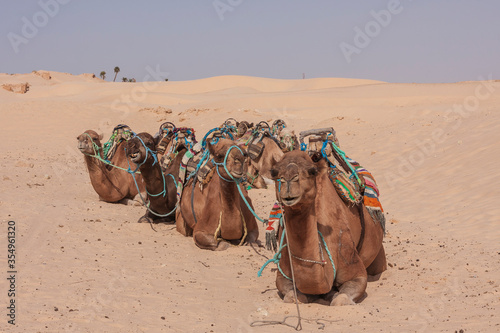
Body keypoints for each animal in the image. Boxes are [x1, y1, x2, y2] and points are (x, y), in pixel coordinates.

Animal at [270, 151, 386, 306]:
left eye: (312, 171)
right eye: (273, 172)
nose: (289, 179)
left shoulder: (352, 264)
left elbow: (340, 300)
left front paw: (333, 294)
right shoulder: (282, 274)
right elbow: (291, 296)